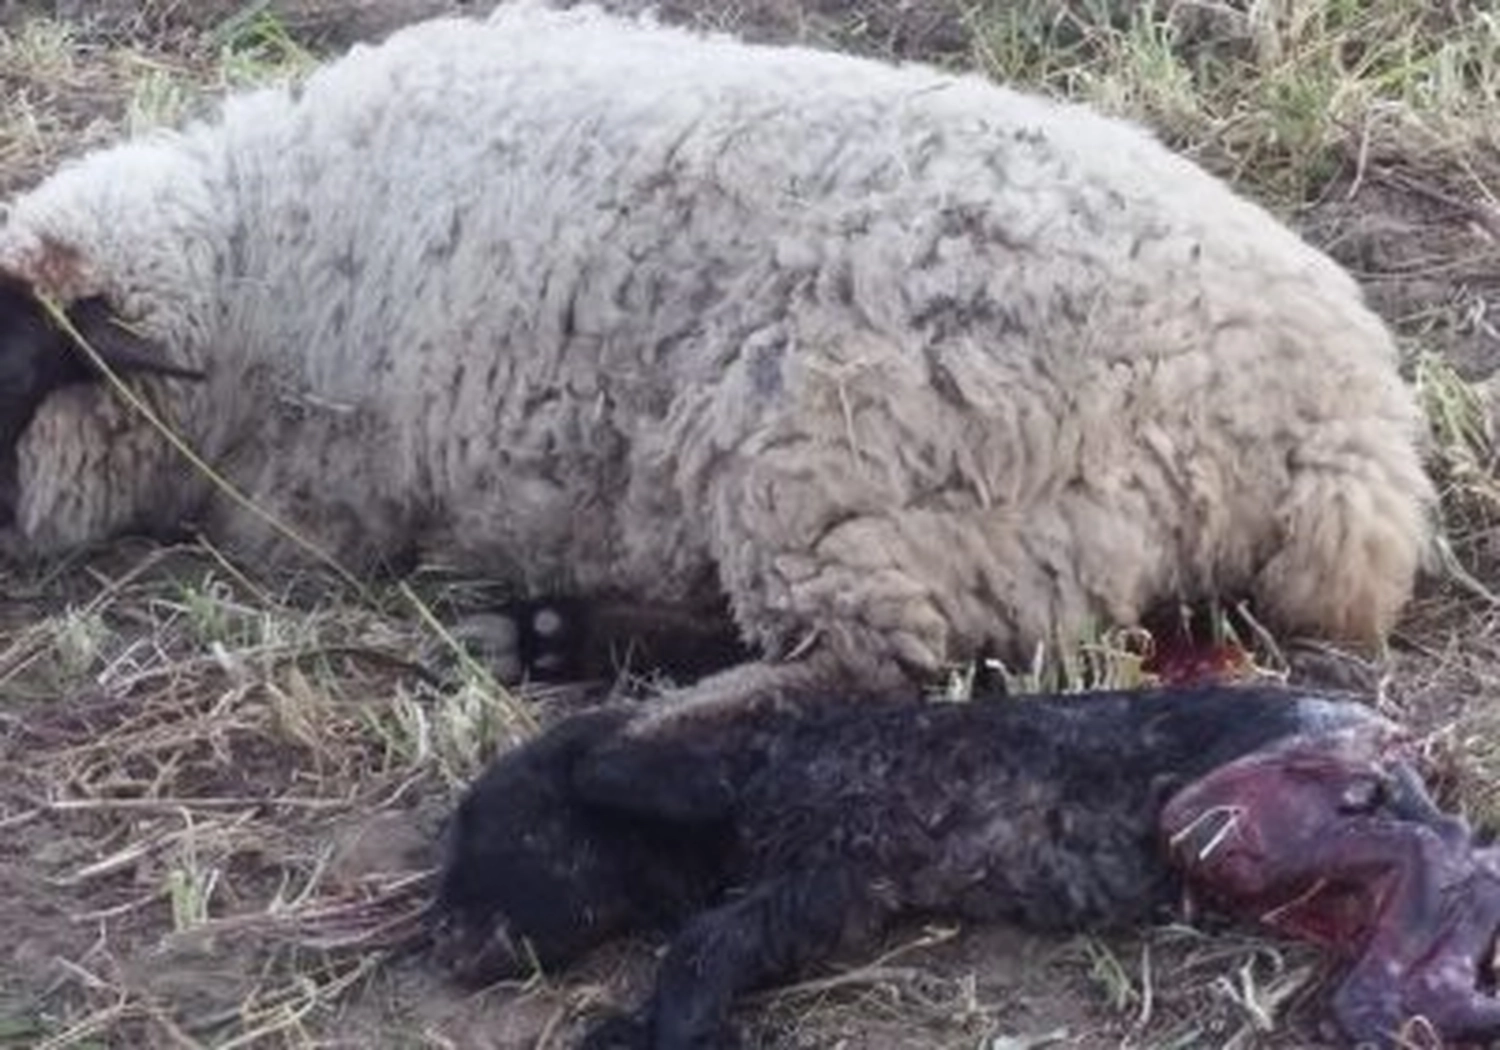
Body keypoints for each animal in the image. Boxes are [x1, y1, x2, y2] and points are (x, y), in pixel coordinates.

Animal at [0, 2, 1433, 720]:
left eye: (12, 372)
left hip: (830, 460)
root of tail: (1344, 416)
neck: (254, 252)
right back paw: (553, 636)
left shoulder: (319, 509)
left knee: (871, 668)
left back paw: (609, 698)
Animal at [430, 683, 1500, 1049]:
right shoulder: (825, 893)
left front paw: (670, 1030)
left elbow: (698, 937)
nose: (444, 940)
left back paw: (1388, 1003)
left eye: (483, 839)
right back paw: (1436, 1000)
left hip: (1232, 812)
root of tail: (1371, 716)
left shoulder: (810, 846)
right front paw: (641, 1026)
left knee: (1446, 851)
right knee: (1462, 863)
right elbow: (716, 940)